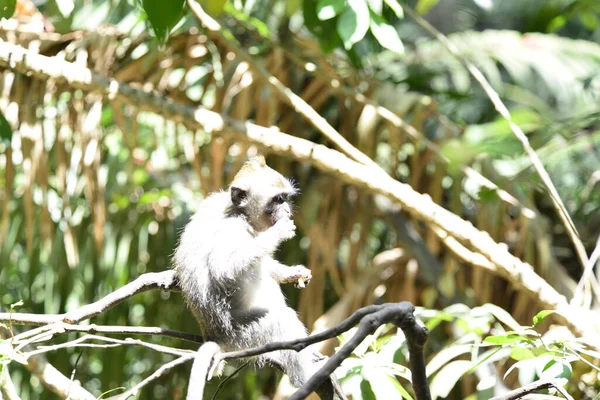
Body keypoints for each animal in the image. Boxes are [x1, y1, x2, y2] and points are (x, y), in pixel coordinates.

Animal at [173, 156, 342, 400]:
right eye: (278, 199)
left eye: (285, 198)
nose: (287, 211)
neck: (237, 212)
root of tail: (216, 337)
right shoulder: (232, 229)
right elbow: (223, 268)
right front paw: (278, 233)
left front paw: (294, 272)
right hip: (245, 336)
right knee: (280, 318)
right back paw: (304, 377)